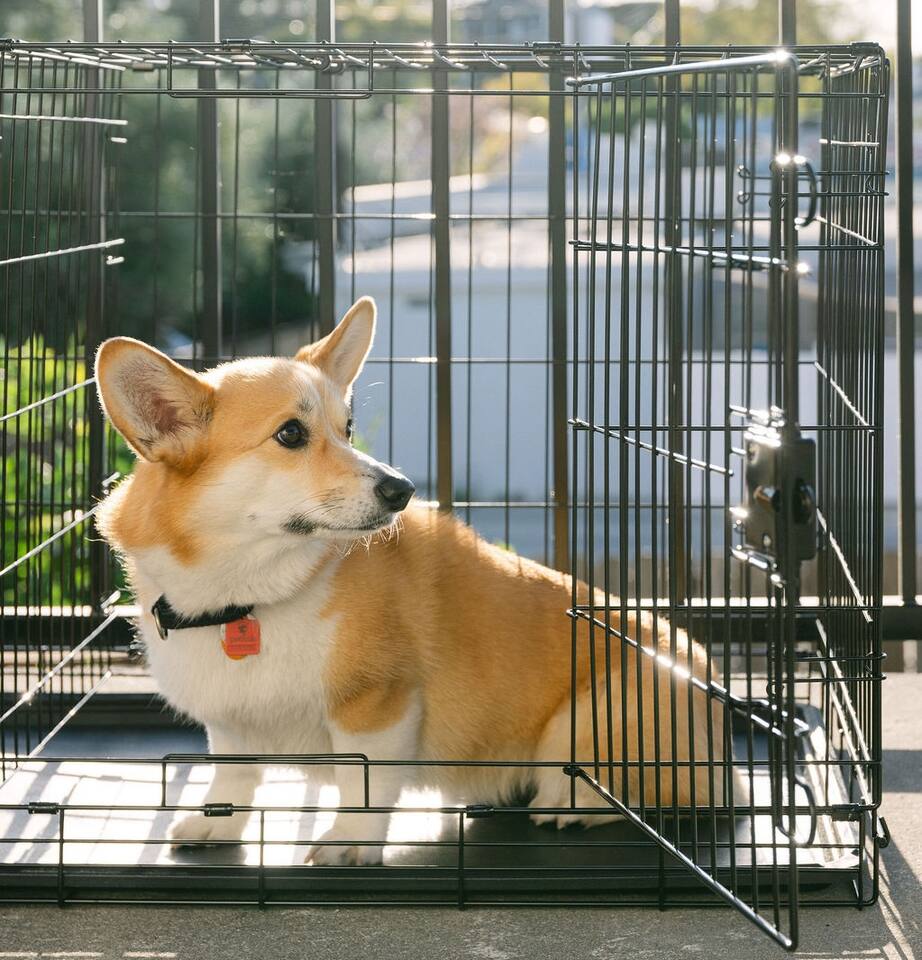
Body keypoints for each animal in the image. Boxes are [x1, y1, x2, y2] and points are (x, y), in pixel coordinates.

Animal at [94, 296, 728, 865]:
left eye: (347, 428)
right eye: (291, 434)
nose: (402, 489)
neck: (246, 596)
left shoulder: (377, 705)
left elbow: (364, 785)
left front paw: (350, 843)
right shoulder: (229, 723)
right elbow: (233, 775)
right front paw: (216, 823)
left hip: (593, 717)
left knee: (650, 792)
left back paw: (569, 804)